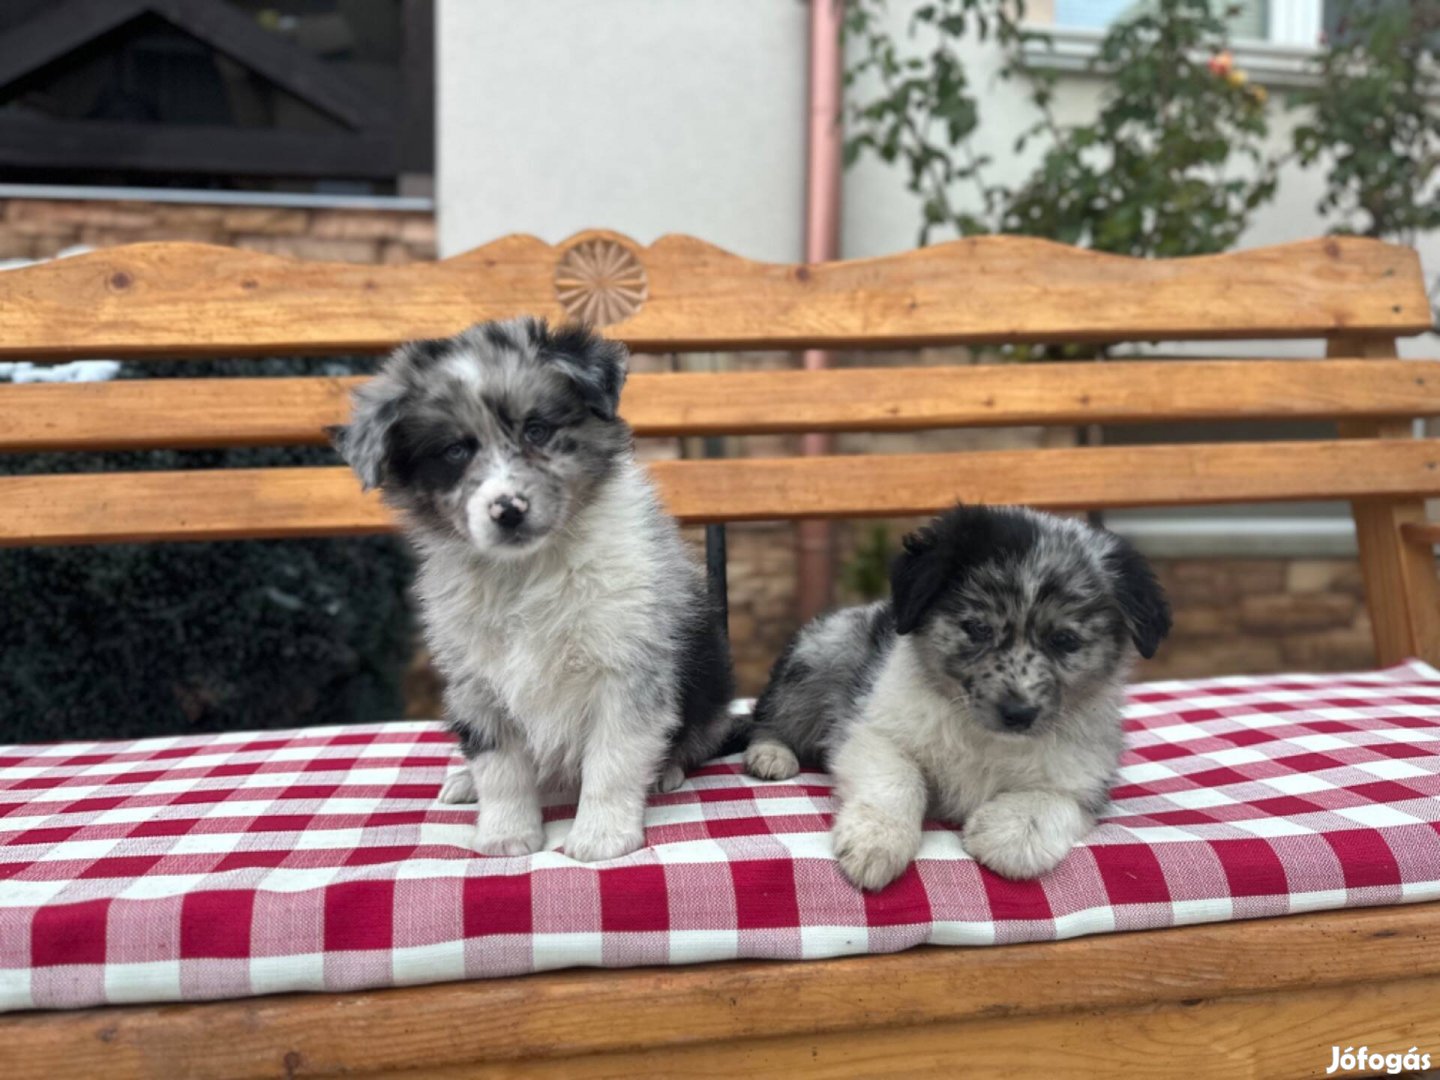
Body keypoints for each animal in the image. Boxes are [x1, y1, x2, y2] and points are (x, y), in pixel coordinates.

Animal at [332, 319, 737, 864]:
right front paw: (506, 833)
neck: (526, 570)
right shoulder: (475, 681)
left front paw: (602, 835)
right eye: (455, 451)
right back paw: (465, 782)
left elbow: (612, 759)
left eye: (537, 430)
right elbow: (499, 765)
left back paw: (665, 772)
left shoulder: (627, 667)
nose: (508, 510)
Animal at [743, 506, 1169, 887]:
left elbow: (1054, 801)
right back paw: (770, 754)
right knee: (768, 715)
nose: (1018, 713)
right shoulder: (873, 730)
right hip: (822, 654)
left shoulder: (1088, 777)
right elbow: (899, 777)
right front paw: (877, 841)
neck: (984, 735)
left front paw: (1005, 833)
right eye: (978, 628)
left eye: (1064, 640)